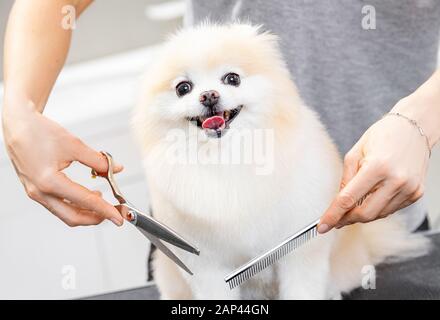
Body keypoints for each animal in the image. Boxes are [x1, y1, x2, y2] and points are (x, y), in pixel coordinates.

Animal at [133, 23, 430, 300]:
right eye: (183, 88)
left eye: (232, 78)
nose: (208, 95)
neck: (227, 155)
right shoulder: (207, 265)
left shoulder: (299, 250)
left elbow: (302, 287)